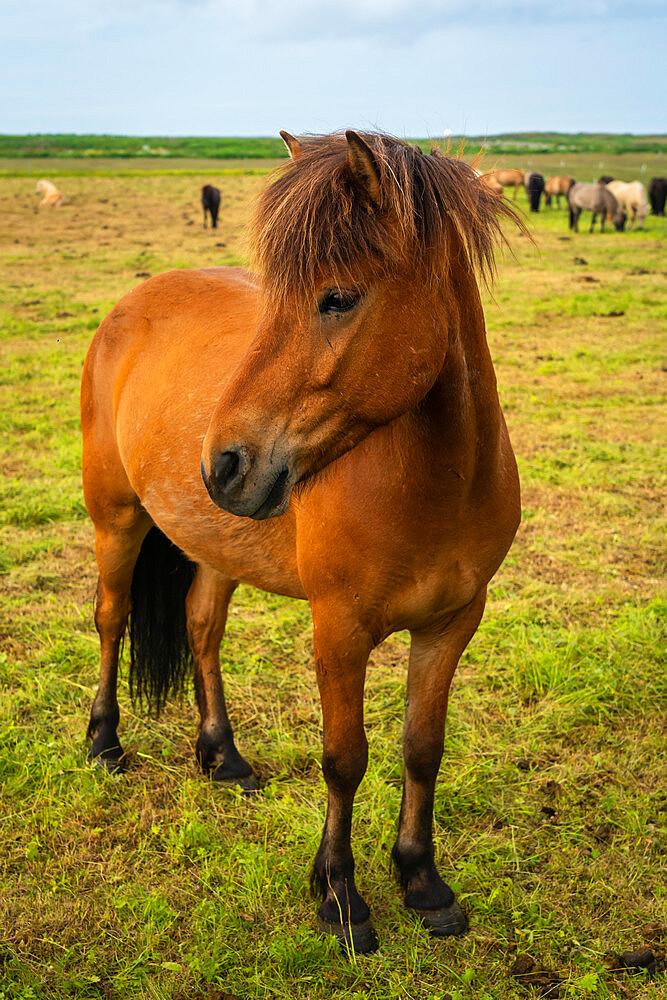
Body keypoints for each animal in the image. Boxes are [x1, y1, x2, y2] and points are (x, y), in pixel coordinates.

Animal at [81, 131, 524, 952]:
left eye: (337, 297)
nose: (224, 464)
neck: (436, 481)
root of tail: (131, 304)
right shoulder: (338, 630)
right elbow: (344, 759)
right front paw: (340, 896)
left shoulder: (452, 624)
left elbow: (423, 748)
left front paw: (422, 881)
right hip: (116, 518)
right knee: (110, 618)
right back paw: (103, 746)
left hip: (215, 544)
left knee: (202, 627)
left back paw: (223, 756)